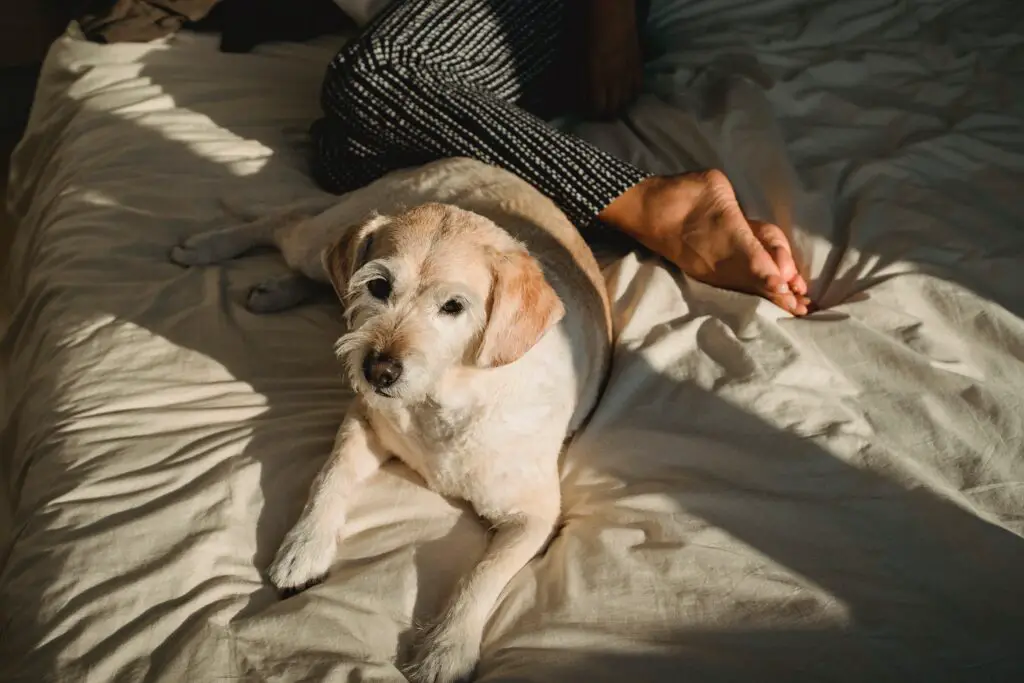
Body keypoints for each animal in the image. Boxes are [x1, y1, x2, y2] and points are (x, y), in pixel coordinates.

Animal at [172, 157, 610, 679]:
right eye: (379, 287)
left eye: (454, 307)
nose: (377, 370)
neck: (442, 403)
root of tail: (455, 159)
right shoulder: (362, 421)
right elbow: (330, 477)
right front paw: (305, 546)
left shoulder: (536, 517)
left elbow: (483, 574)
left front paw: (447, 647)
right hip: (320, 238)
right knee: (286, 224)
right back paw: (207, 247)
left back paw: (275, 289)